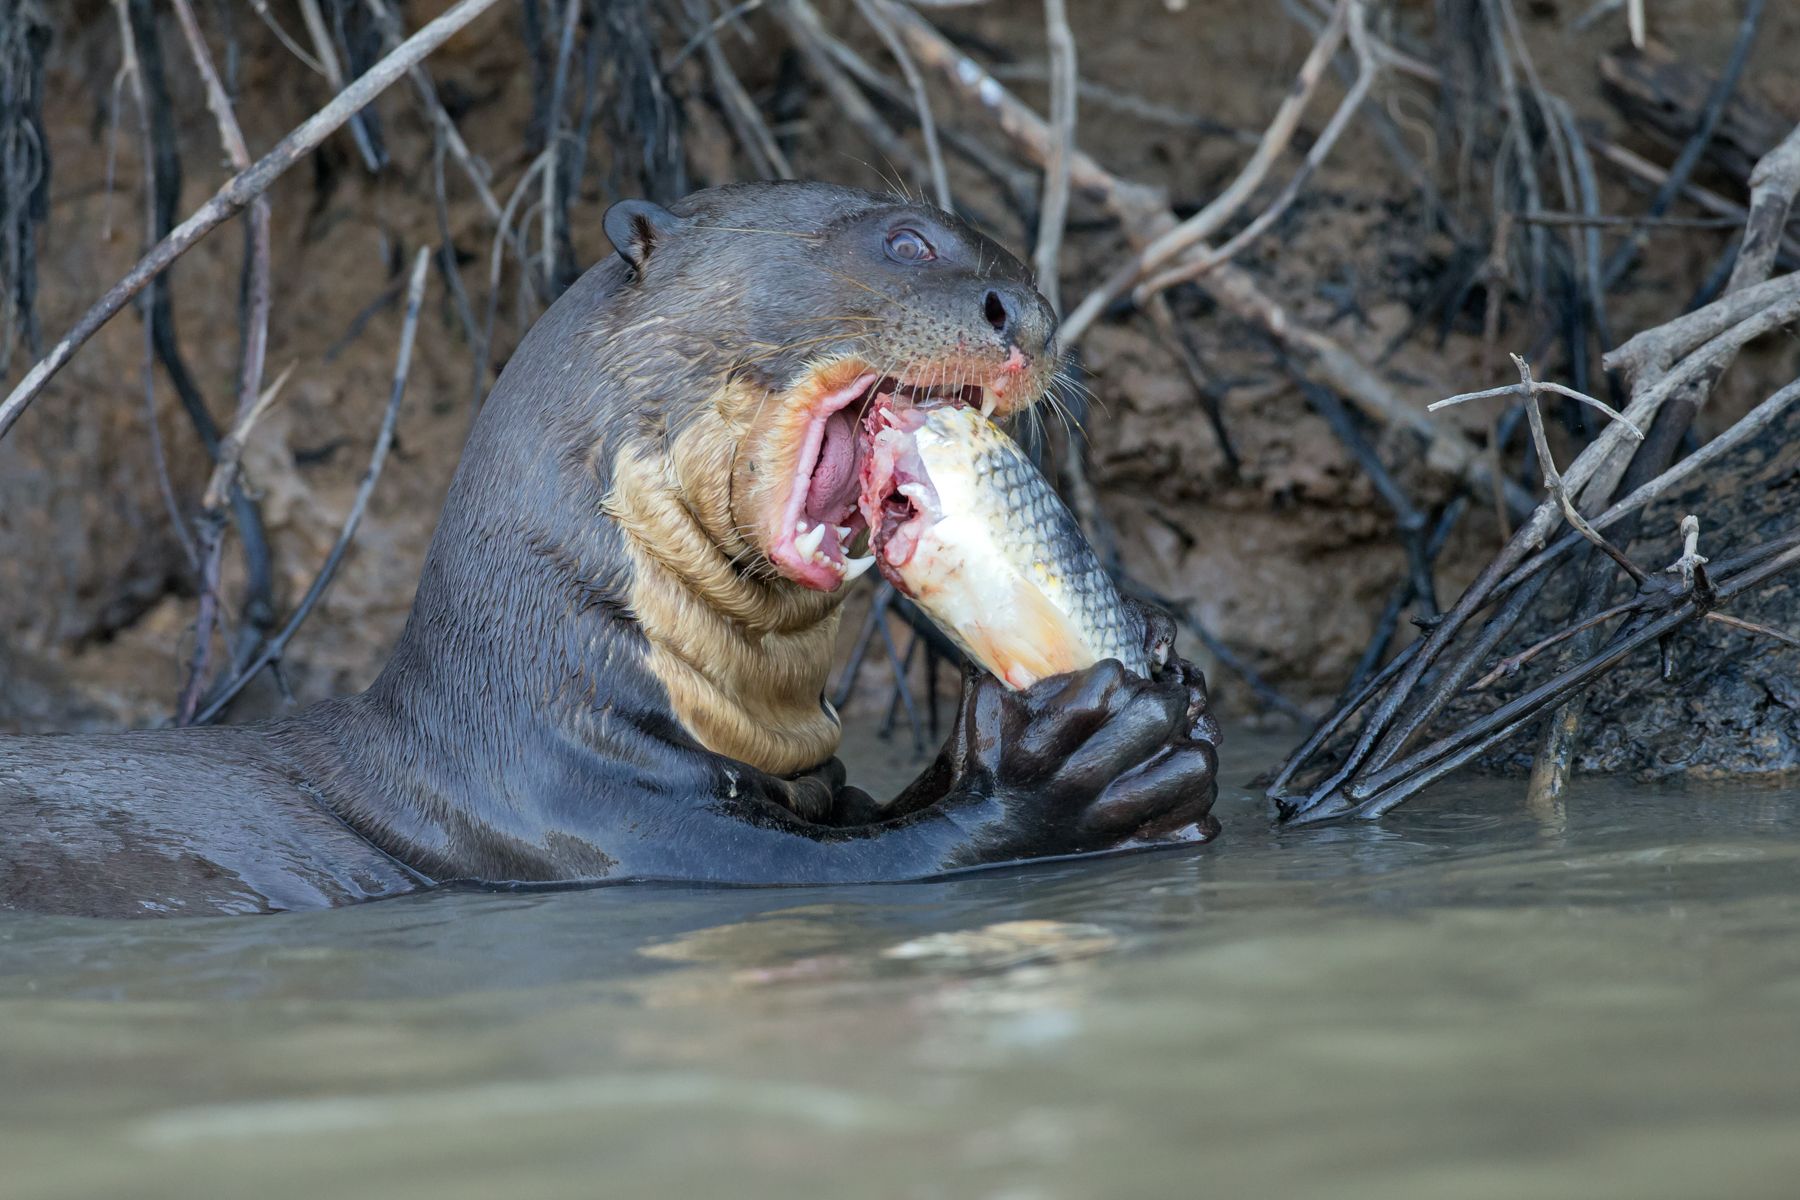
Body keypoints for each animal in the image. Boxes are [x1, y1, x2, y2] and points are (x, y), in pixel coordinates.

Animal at [3, 180, 1224, 921]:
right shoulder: (591, 821)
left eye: (1017, 263)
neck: (547, 682)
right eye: (907, 240)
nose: (1029, 310)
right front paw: (1072, 770)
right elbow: (873, 863)